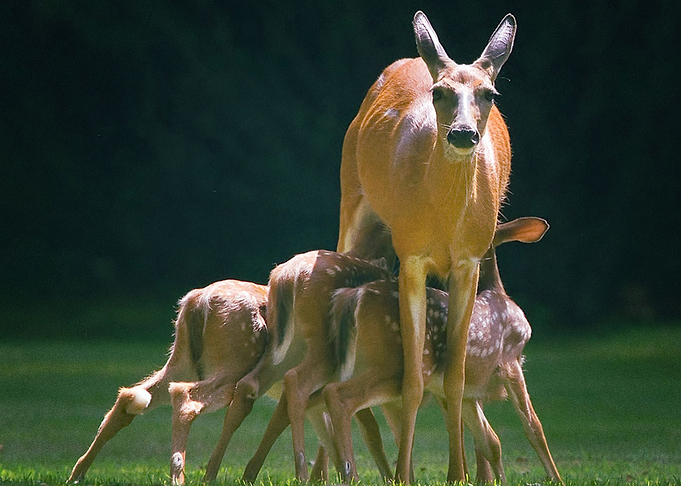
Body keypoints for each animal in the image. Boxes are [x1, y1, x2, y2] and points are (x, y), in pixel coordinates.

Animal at [68, 279, 270, 485]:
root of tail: (198, 300)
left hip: (183, 360)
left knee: (130, 394)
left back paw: (77, 474)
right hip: (236, 361)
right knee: (186, 396)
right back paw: (179, 477)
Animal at [324, 217, 562, 485]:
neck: (498, 293)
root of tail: (351, 298)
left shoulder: (468, 391)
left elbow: (489, 440)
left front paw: (499, 479)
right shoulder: (511, 361)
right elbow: (534, 427)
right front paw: (557, 479)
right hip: (392, 368)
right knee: (338, 395)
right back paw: (351, 474)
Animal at [336, 10, 517, 482]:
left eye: (490, 93)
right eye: (440, 92)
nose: (463, 134)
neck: (444, 221)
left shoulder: (469, 262)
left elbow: (455, 377)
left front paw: (458, 474)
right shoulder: (412, 256)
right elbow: (412, 379)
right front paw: (404, 474)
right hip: (352, 205)